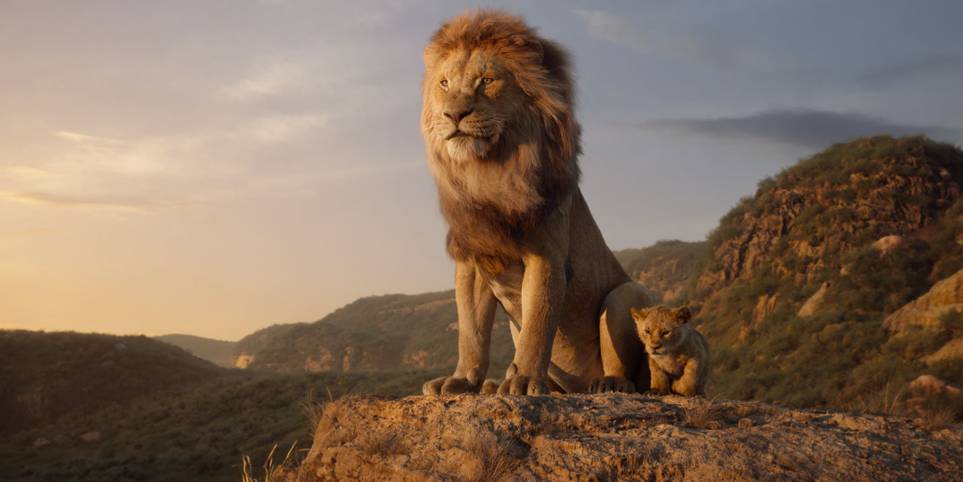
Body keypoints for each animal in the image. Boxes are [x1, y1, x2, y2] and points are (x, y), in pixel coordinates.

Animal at [419, 10, 652, 396]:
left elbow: (538, 325)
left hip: (626, 294)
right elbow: (471, 331)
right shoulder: (473, 260)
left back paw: (608, 383)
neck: (489, 172)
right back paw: (495, 385)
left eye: (487, 80)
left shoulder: (546, 256)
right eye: (444, 83)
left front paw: (525, 380)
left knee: (628, 369)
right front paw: (462, 380)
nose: (454, 115)